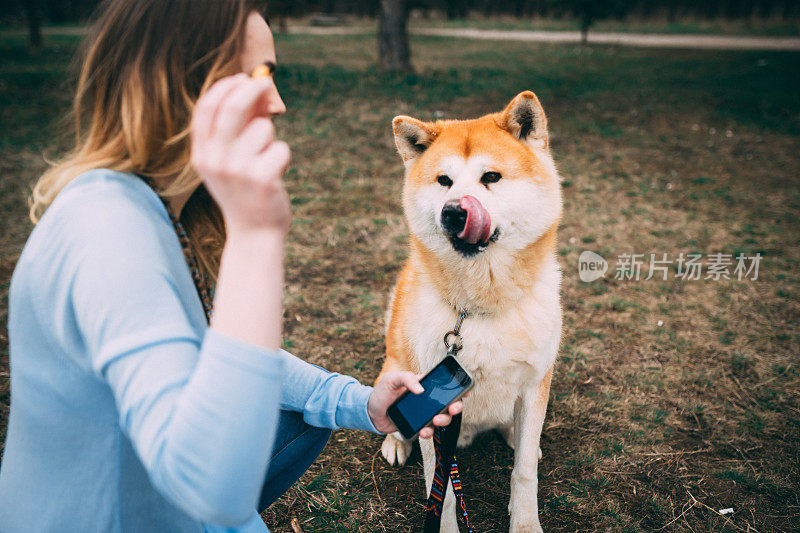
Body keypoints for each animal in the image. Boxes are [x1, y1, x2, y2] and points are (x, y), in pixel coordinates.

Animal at [376, 92, 560, 532]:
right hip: (393, 370)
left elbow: (524, 471)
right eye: (444, 181)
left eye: (491, 177)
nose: (454, 211)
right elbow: (439, 489)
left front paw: (525, 523)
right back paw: (396, 443)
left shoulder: (536, 383)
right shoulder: (431, 406)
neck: (481, 305)